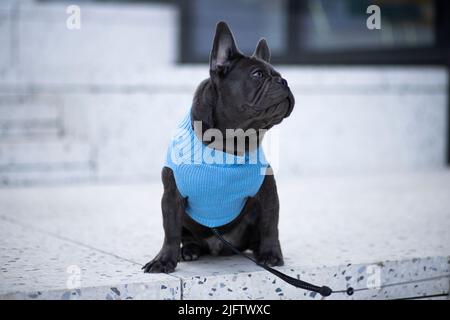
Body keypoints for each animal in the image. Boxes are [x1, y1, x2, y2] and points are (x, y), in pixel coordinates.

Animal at [142, 21, 294, 274]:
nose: (284, 82)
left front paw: (272, 254)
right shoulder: (172, 196)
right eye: (257, 74)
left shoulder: (267, 192)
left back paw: (258, 250)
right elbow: (170, 231)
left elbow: (271, 225)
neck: (230, 143)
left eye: (280, 76)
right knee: (186, 237)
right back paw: (189, 251)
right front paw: (163, 260)